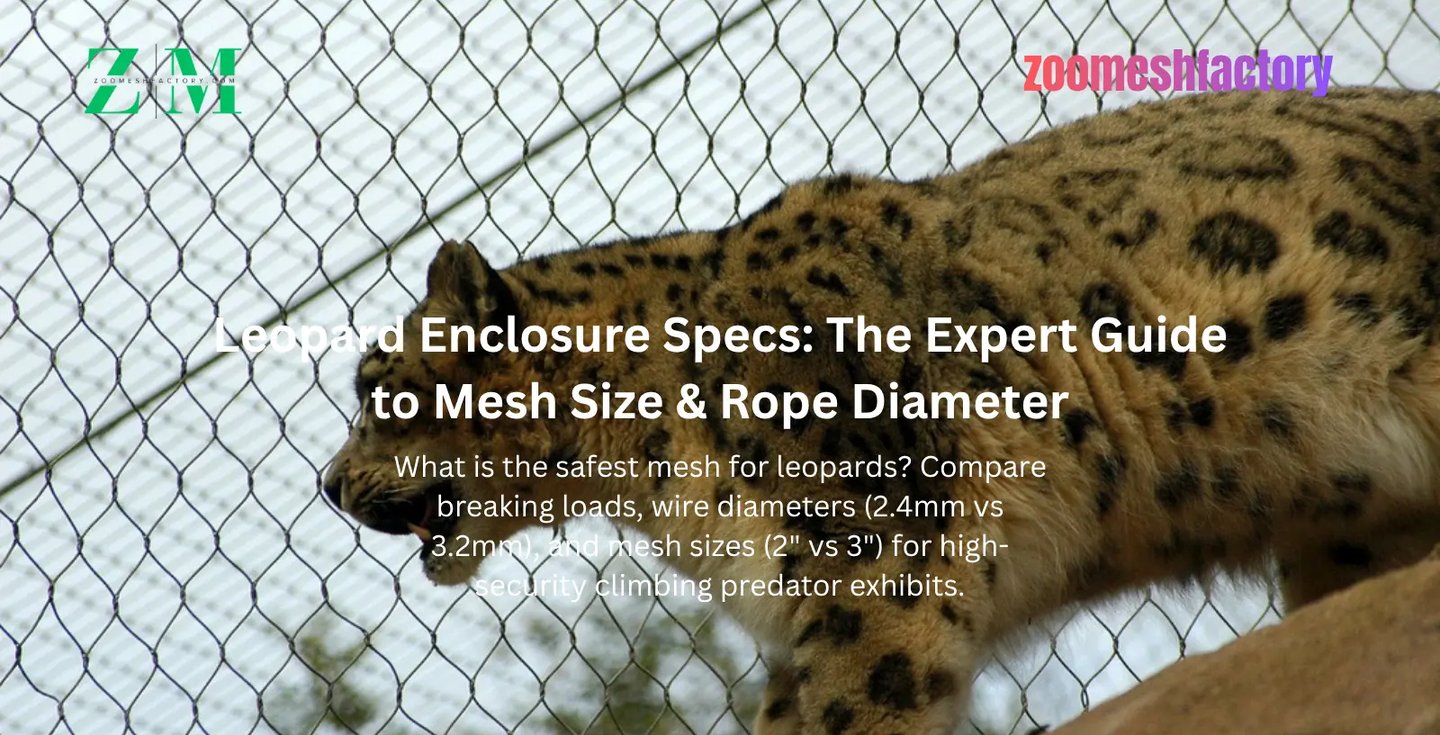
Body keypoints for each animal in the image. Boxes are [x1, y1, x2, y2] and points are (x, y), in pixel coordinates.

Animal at [324, 87, 1440, 734]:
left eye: (376, 388)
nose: (331, 485)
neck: (657, 476)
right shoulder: (797, 610)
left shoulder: (873, 559)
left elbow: (865, 704)